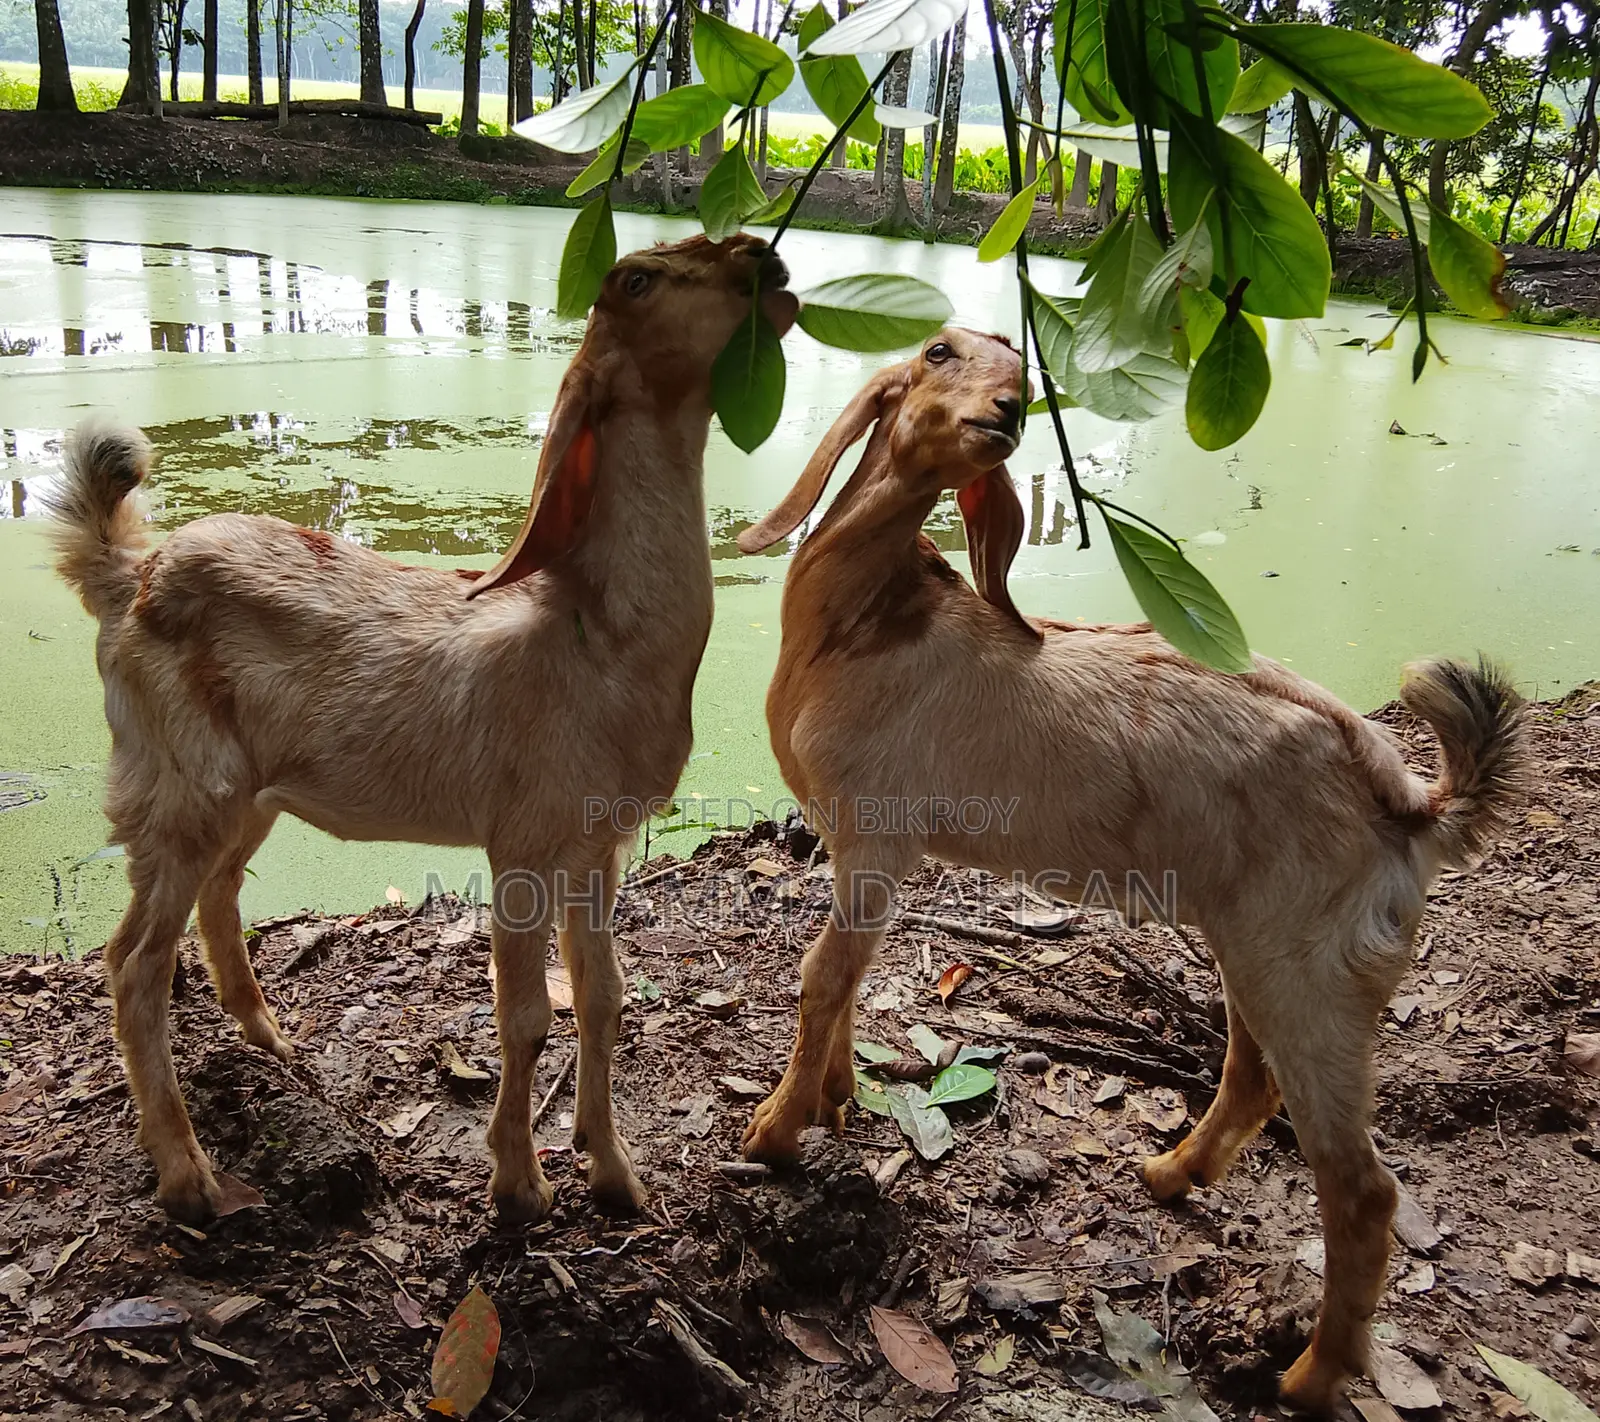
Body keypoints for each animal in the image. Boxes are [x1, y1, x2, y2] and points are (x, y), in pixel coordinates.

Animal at [47, 232, 798, 1228]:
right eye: (634, 278)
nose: (769, 264)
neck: (598, 640)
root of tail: (126, 576)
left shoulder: (599, 841)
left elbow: (604, 998)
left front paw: (616, 1174)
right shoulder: (522, 835)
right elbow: (528, 1015)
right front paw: (520, 1186)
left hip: (248, 787)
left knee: (220, 894)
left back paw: (272, 1041)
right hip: (179, 777)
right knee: (130, 960)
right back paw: (188, 1177)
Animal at [736, 328, 1526, 1413]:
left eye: (1020, 376)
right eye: (938, 351)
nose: (1001, 418)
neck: (867, 618)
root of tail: (1413, 805)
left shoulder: (878, 834)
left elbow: (820, 975)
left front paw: (774, 1133)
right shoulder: (865, 852)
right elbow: (847, 979)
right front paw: (833, 1099)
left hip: (1314, 975)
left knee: (1362, 1188)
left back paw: (1310, 1376)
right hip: (1259, 947)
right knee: (1250, 1080)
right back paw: (1169, 1176)